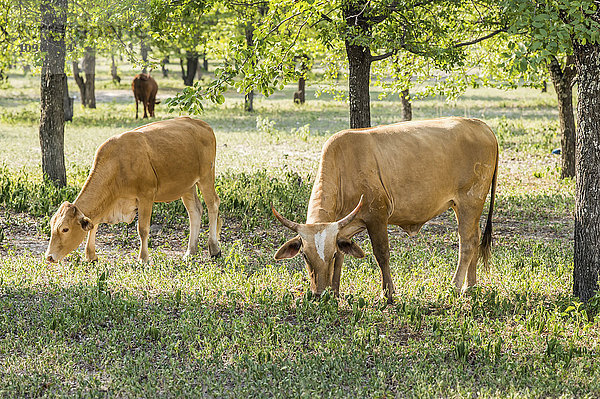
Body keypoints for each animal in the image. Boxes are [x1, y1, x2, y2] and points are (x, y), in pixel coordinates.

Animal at [45, 117, 223, 264]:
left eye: (65, 229)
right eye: (52, 227)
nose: (49, 257)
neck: (117, 164)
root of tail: (201, 124)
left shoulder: (146, 195)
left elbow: (142, 229)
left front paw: (143, 258)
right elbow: (94, 225)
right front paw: (91, 255)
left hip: (206, 177)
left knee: (213, 205)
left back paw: (214, 248)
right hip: (187, 186)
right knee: (195, 211)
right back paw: (190, 252)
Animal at [272, 116, 496, 304]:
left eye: (331, 255)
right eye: (304, 256)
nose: (319, 294)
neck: (344, 168)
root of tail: (481, 125)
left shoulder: (377, 216)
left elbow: (381, 254)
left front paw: (388, 294)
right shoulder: (344, 228)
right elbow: (344, 258)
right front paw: (335, 292)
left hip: (470, 201)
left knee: (467, 243)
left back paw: (456, 286)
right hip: (465, 207)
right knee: (475, 238)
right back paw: (470, 285)